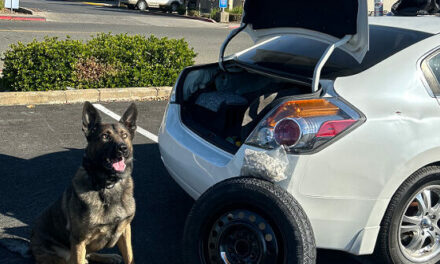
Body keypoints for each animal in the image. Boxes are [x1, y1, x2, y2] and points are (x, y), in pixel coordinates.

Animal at [30, 101, 138, 264]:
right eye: (105, 136)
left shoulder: (125, 230)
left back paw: (109, 257)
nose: (123, 148)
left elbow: (129, 256)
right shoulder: (79, 240)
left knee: (89, 255)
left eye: (124, 135)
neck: (107, 185)